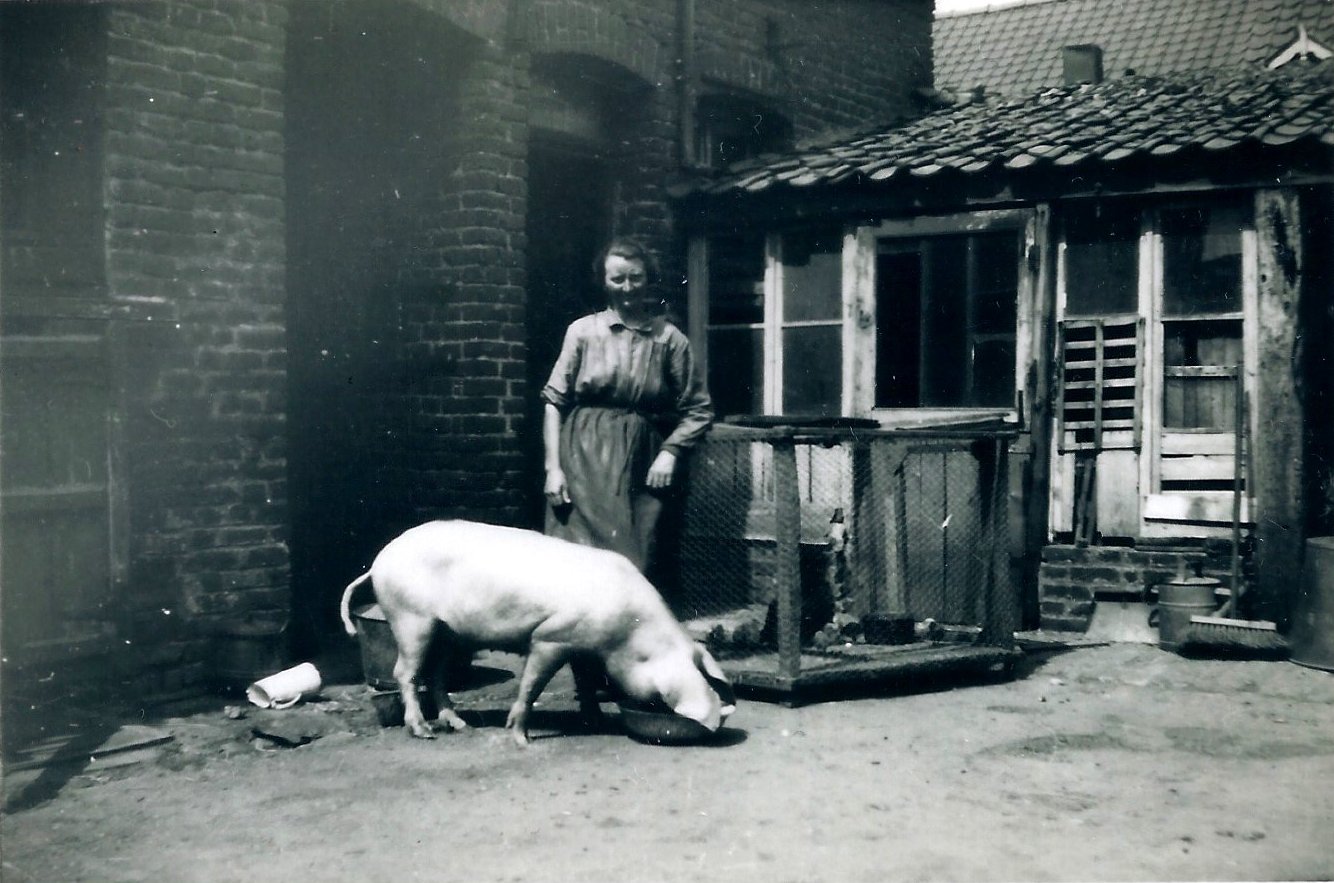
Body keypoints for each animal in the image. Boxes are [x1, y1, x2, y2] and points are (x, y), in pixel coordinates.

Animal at [339, 520, 734, 746]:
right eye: (658, 699)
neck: (629, 636)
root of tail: (379, 561)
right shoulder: (550, 637)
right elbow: (532, 684)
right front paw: (520, 739)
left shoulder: (580, 644)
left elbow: (585, 681)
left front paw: (595, 720)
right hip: (411, 619)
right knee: (404, 673)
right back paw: (424, 732)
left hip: (448, 633)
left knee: (437, 675)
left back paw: (460, 725)